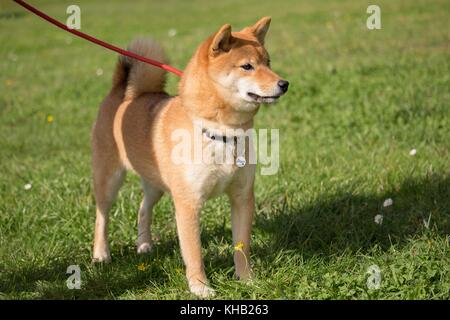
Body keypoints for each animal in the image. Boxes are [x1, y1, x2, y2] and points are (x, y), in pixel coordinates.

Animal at [91, 16, 288, 298]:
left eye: (268, 62)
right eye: (247, 66)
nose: (284, 83)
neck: (221, 132)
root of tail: (123, 93)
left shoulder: (242, 197)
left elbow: (242, 247)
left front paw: (246, 279)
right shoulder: (188, 204)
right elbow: (194, 254)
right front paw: (200, 287)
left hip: (157, 184)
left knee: (143, 208)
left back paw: (144, 245)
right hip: (109, 179)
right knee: (102, 216)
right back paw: (101, 254)